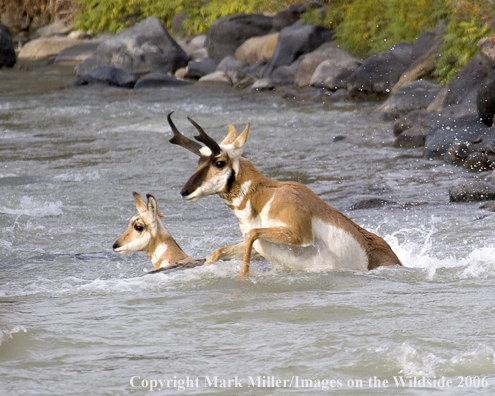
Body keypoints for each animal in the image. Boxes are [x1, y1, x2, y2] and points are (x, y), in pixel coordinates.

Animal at [168, 113, 404, 276]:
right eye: (199, 161)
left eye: (219, 162)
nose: (184, 192)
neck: (264, 198)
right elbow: (218, 251)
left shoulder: (298, 234)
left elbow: (253, 235)